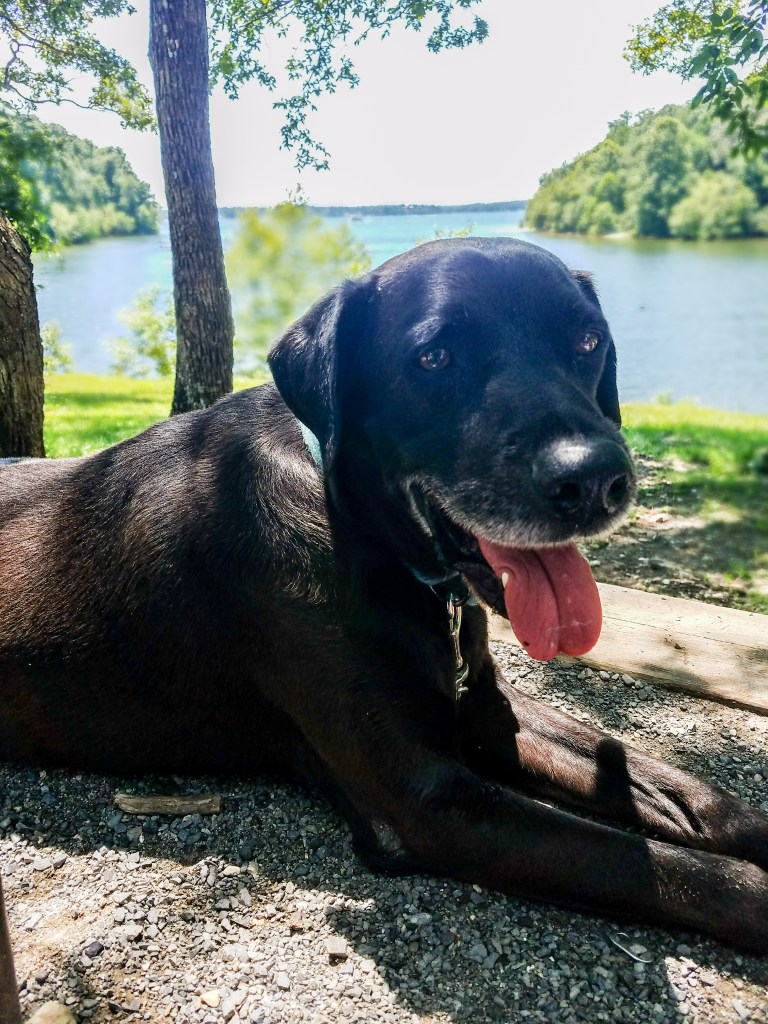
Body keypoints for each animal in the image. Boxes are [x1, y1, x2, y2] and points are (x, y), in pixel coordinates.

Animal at [1, 237, 768, 958]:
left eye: (587, 341)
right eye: (434, 358)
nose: (596, 480)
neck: (357, 525)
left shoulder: (484, 709)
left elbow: (666, 782)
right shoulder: (426, 798)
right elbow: (659, 866)